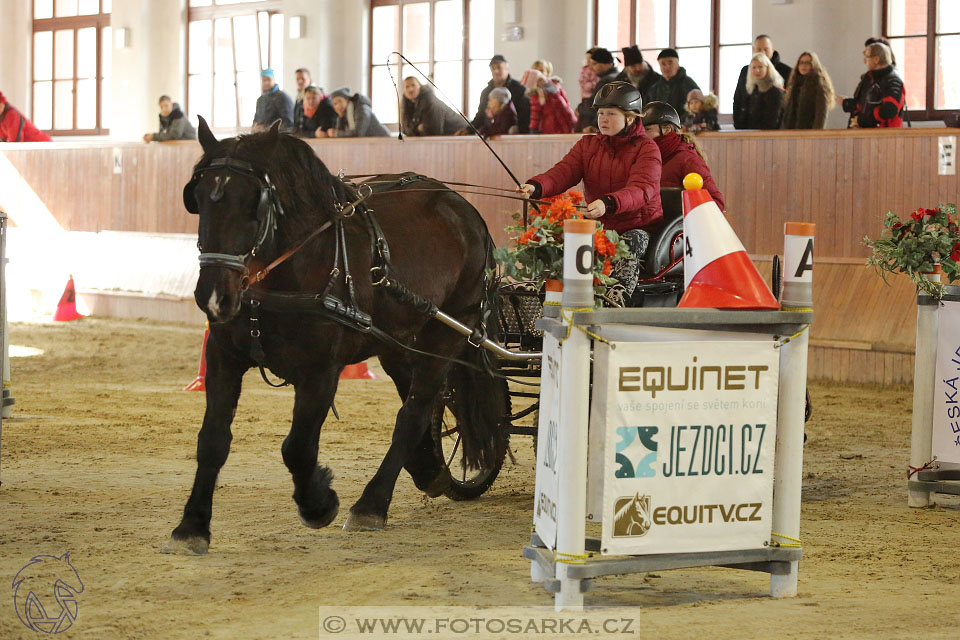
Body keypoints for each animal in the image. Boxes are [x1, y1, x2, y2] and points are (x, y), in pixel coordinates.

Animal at [163, 116, 510, 556]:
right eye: (199, 198)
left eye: (254, 203)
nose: (213, 295)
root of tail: (465, 209)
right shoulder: (224, 358)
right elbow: (212, 441)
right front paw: (191, 526)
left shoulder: (320, 371)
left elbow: (297, 447)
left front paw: (319, 503)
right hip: (397, 342)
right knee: (422, 403)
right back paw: (428, 468)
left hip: (446, 332)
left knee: (412, 413)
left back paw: (372, 505)